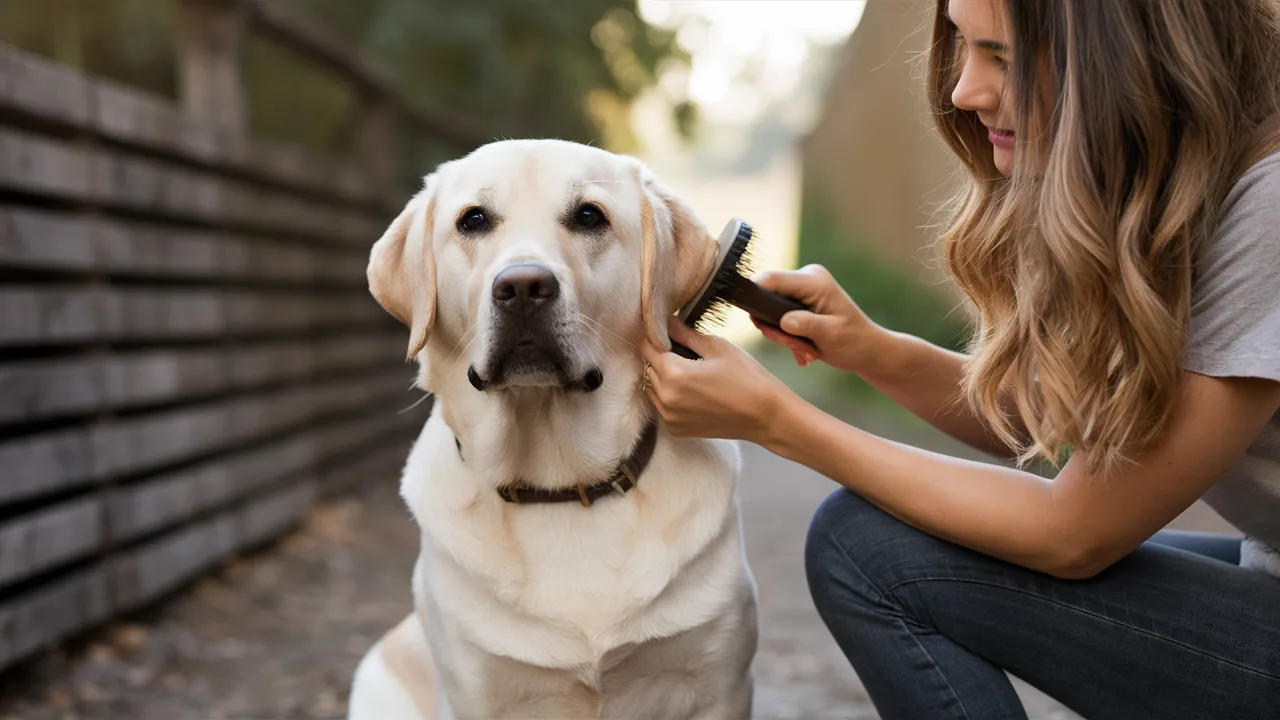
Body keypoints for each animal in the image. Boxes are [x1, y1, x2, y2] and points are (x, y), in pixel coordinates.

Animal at [345, 137, 752, 712]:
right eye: (473, 220)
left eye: (589, 216)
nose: (523, 287)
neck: (561, 485)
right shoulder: (475, 694)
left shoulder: (721, 685)